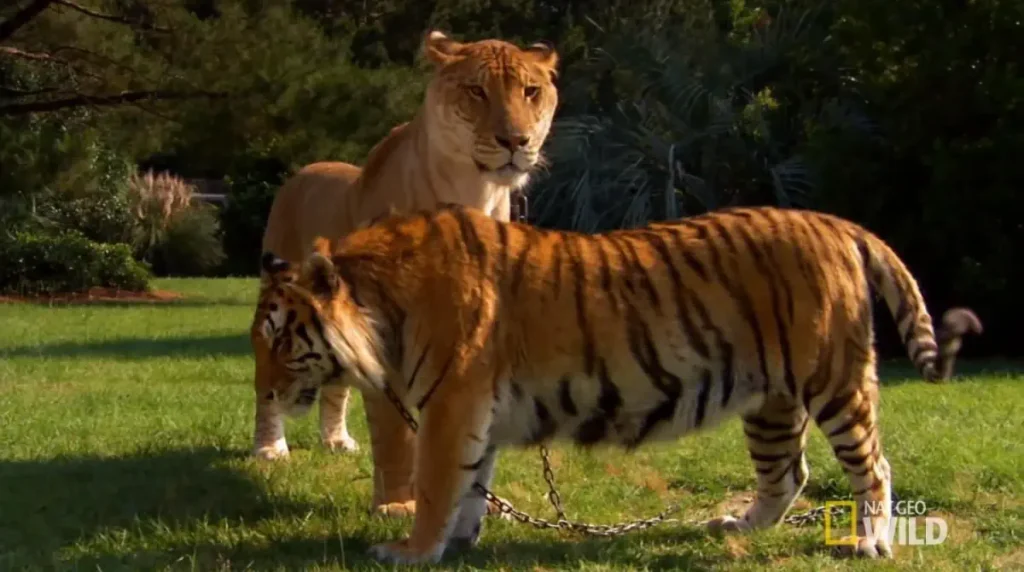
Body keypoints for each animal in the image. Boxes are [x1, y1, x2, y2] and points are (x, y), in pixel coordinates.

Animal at [251, 32, 565, 519]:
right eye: (477, 91)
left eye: (531, 91)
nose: (516, 139)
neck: (474, 191)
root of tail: (308, 168)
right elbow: (396, 433)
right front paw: (398, 503)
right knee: (266, 382)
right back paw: (269, 448)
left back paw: (336, 440)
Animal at [251, 202, 978, 564]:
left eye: (282, 340)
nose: (265, 394)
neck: (379, 301)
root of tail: (838, 223)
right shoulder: (473, 411)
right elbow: (471, 485)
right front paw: (458, 542)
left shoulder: (451, 404)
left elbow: (436, 487)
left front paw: (409, 550)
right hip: (769, 399)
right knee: (787, 474)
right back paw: (737, 526)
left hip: (835, 382)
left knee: (873, 467)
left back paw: (870, 542)